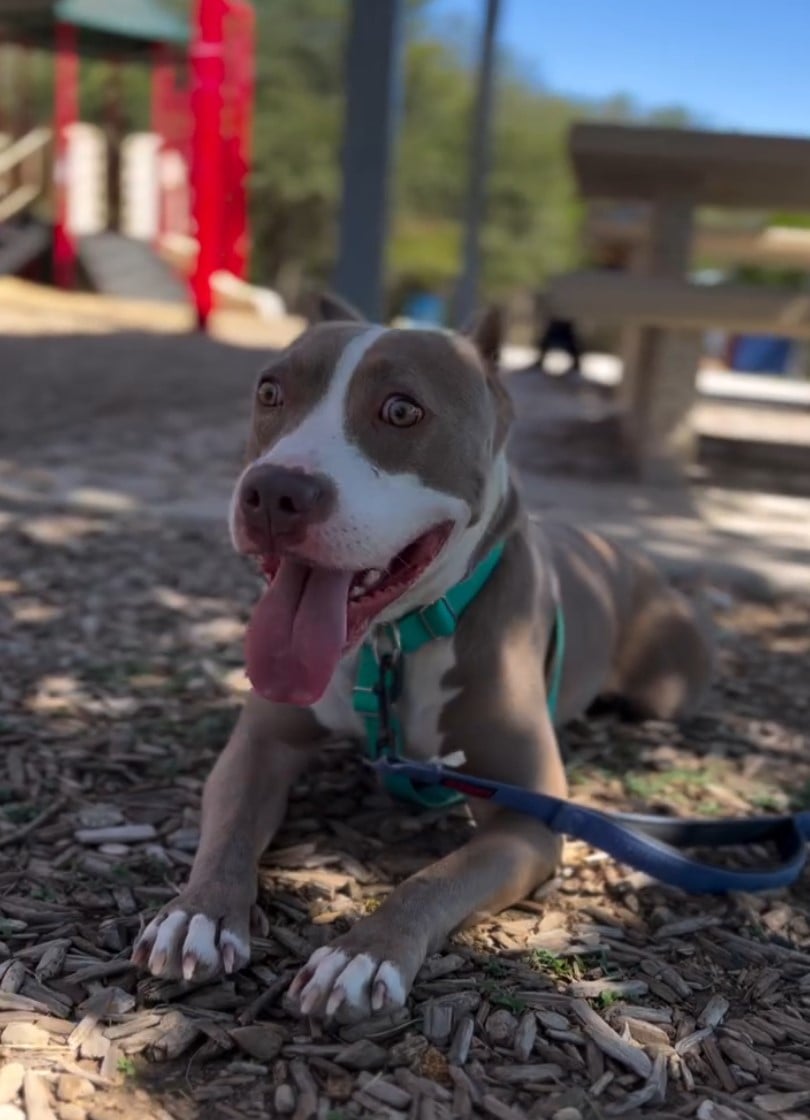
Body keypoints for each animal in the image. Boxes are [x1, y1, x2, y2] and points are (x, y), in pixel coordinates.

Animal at [134, 297, 717, 1025]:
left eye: (402, 410)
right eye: (269, 392)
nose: (273, 492)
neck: (394, 643)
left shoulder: (529, 817)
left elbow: (432, 879)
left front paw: (362, 954)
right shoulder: (260, 746)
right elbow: (230, 831)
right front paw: (199, 913)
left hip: (666, 687)